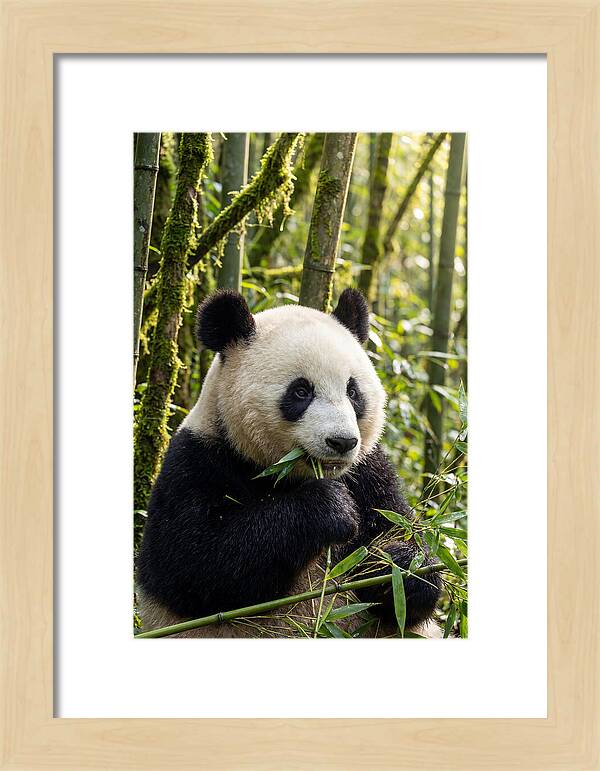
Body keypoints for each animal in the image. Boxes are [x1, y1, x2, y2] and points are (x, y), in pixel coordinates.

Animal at [136, 288, 441, 637]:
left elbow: (403, 539)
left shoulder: (369, 472)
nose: (342, 442)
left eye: (352, 391)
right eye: (300, 391)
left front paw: (397, 567)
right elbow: (194, 564)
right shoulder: (196, 462)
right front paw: (330, 508)